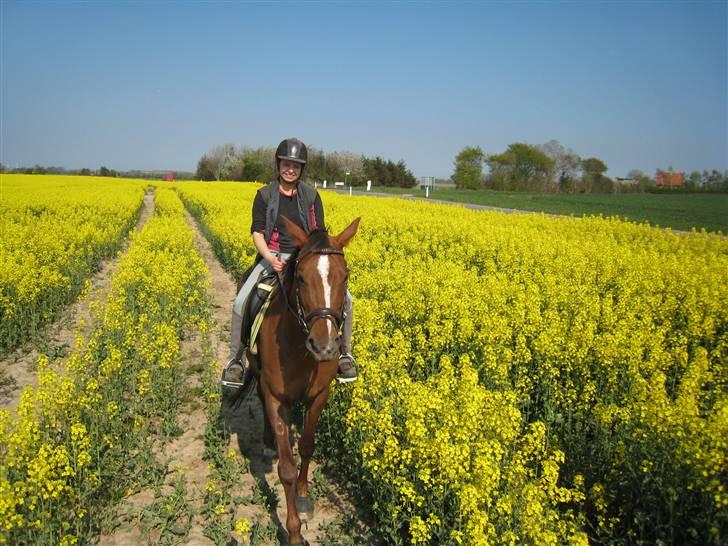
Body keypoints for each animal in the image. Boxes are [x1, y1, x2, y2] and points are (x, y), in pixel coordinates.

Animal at [232, 215, 360, 540]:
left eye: (345, 277)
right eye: (300, 277)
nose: (324, 346)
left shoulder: (318, 395)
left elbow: (307, 447)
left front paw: (303, 498)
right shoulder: (278, 398)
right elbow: (286, 468)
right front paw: (293, 533)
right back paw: (267, 443)